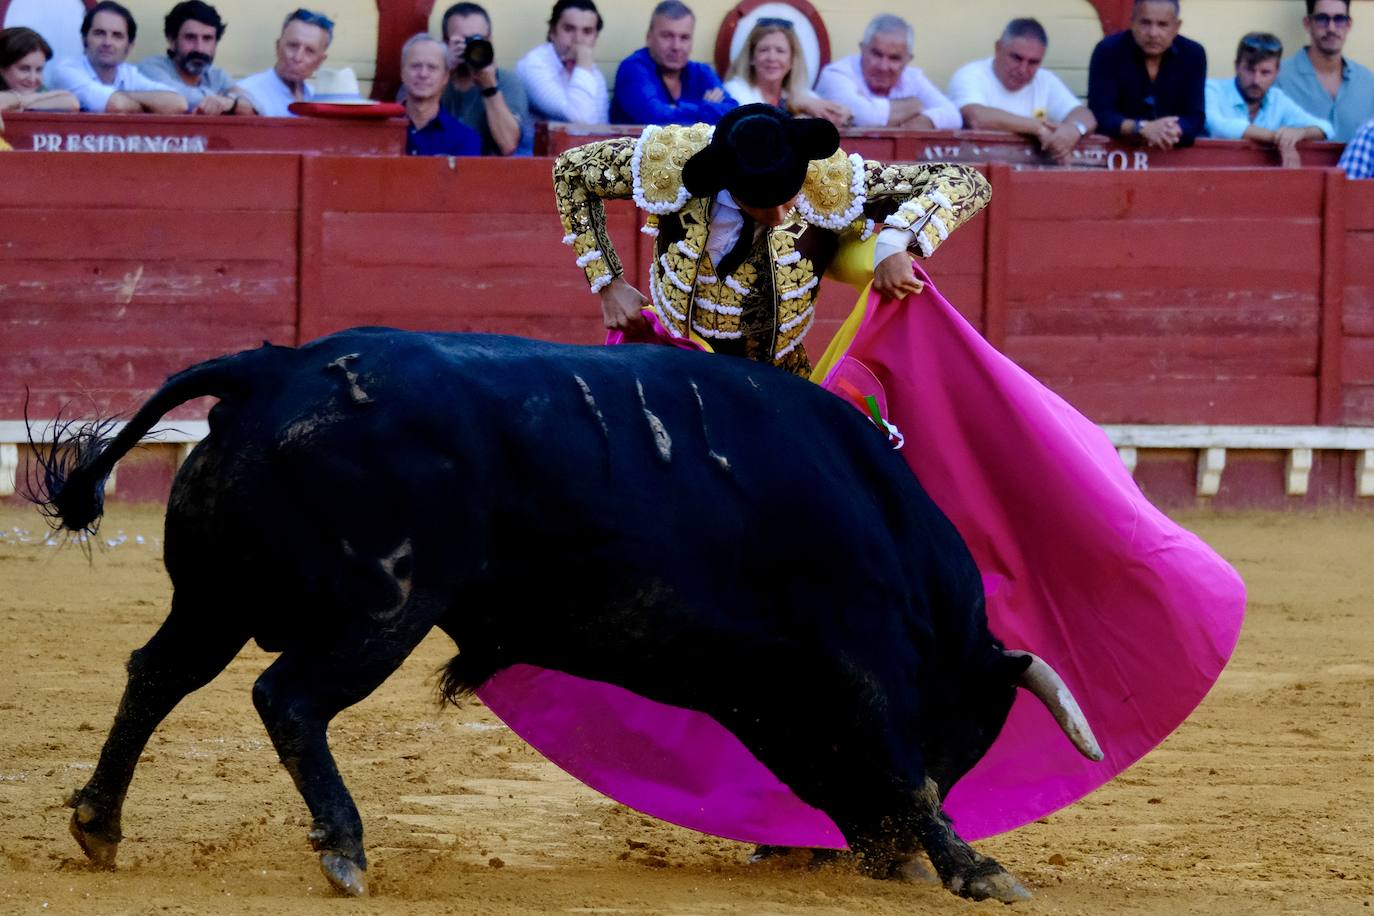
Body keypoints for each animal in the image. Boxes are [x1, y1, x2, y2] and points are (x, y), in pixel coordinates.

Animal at [32, 328, 1099, 900]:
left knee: (156, 675)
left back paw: (99, 824)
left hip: (217, 598)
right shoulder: (860, 654)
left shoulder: (775, 691)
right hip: (381, 610)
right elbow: (897, 761)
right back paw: (344, 848)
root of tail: (276, 366)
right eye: (963, 732)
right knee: (286, 698)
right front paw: (977, 870)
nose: (884, 860)